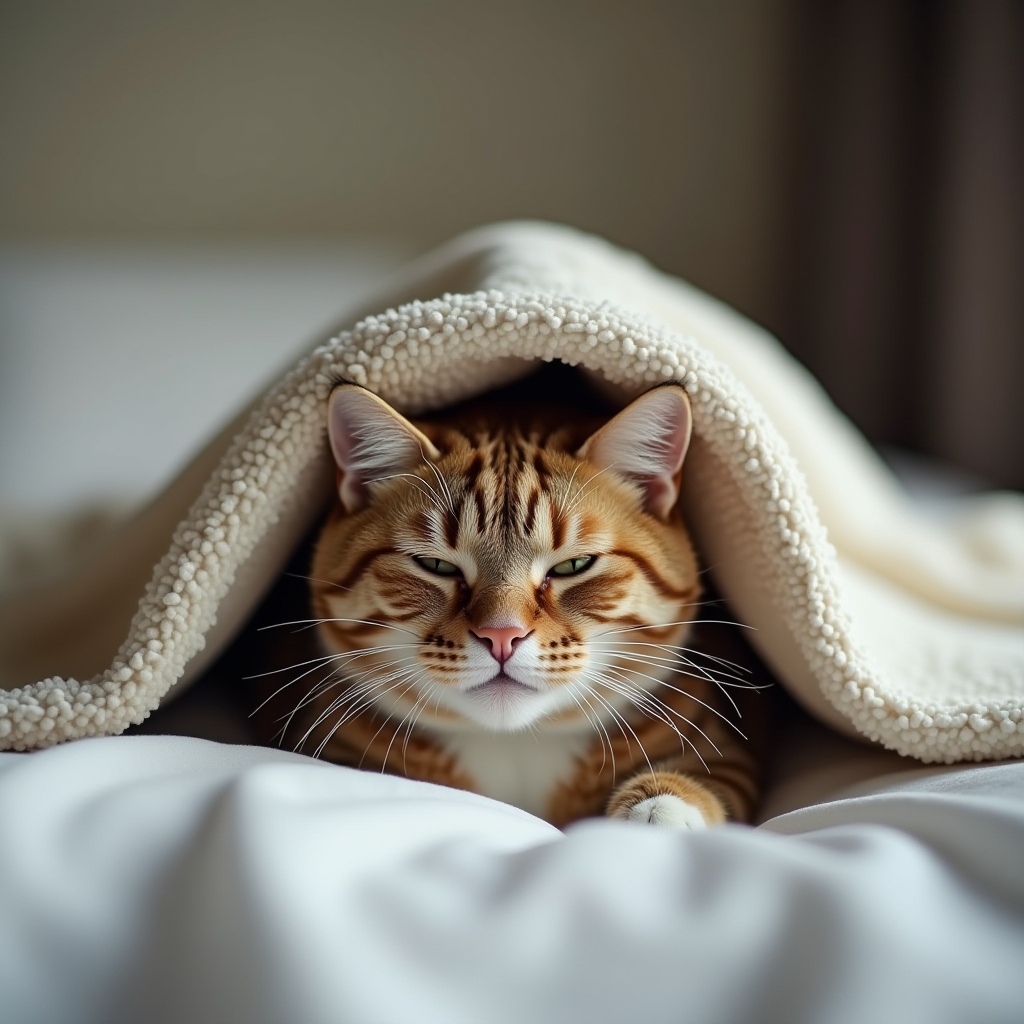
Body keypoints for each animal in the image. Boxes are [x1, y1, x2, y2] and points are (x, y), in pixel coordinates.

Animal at [258, 380, 761, 827]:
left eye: (574, 565)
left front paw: (660, 806)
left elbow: (709, 781)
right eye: (435, 565)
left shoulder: (725, 753)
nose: (502, 635)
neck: (513, 744)